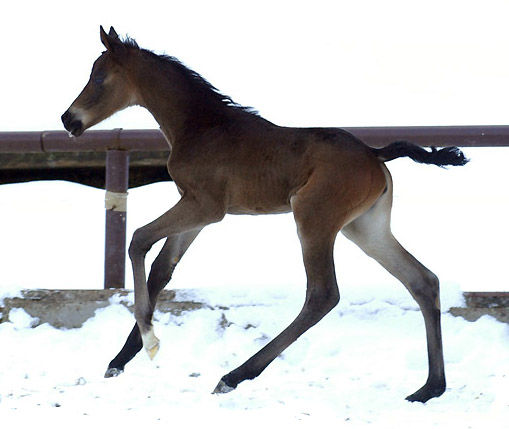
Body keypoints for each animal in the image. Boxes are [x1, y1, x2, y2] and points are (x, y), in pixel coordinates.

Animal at [61, 26, 466, 402]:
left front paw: (150, 341)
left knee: (323, 294)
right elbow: (162, 269)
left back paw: (234, 376)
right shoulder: (195, 209)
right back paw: (430, 388)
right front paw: (121, 358)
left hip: (314, 219)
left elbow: (138, 239)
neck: (200, 127)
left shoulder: (206, 206)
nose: (68, 120)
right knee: (422, 281)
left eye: (99, 76)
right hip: (365, 228)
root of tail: (375, 154)